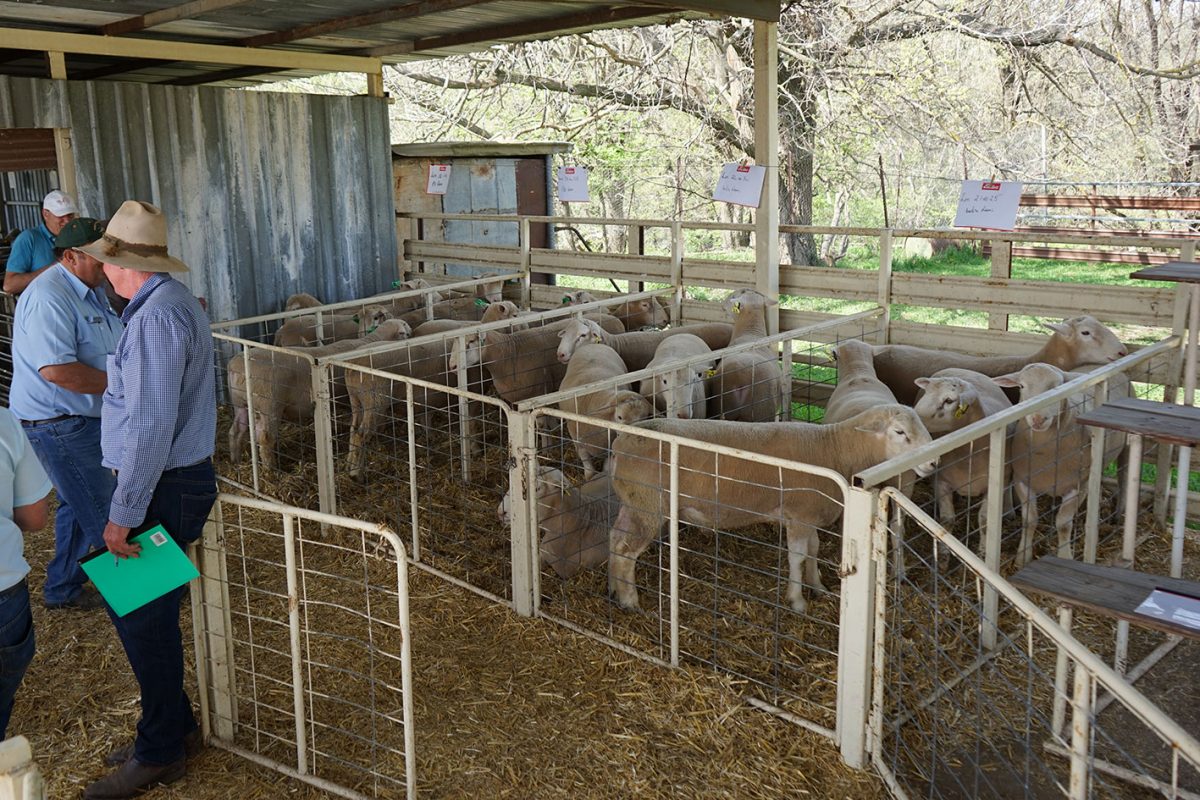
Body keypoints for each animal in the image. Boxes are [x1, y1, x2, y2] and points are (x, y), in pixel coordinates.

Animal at [227, 319, 412, 470]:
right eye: (406, 333)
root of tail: (236, 367)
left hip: (240, 403)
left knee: (237, 429)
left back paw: (235, 460)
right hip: (269, 404)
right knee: (265, 438)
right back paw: (270, 469)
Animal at [558, 343, 655, 478]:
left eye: (644, 417)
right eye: (619, 417)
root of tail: (592, 344)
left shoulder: (608, 446)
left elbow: (606, 466)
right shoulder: (578, 442)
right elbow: (587, 465)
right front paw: (589, 477)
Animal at [606, 406, 937, 613]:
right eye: (899, 432)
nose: (934, 463)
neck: (835, 449)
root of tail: (623, 439)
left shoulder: (809, 515)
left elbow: (814, 550)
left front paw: (819, 587)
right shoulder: (799, 514)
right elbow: (798, 557)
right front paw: (797, 601)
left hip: (633, 502)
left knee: (614, 538)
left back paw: (613, 589)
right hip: (648, 505)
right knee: (626, 551)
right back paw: (630, 601)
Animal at [912, 368, 1014, 550]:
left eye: (949, 400)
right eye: (927, 394)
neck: (967, 458)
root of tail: (962, 370)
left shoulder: (993, 485)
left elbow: (984, 521)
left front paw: (983, 550)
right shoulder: (941, 482)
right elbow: (947, 521)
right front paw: (944, 552)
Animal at [991, 363, 1127, 567]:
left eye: (1058, 386)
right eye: (1022, 386)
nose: (1038, 419)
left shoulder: (1077, 486)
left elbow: (1063, 524)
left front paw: (1065, 556)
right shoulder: (1022, 481)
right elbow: (1029, 521)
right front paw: (1022, 557)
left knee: (1124, 478)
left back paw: (1118, 514)